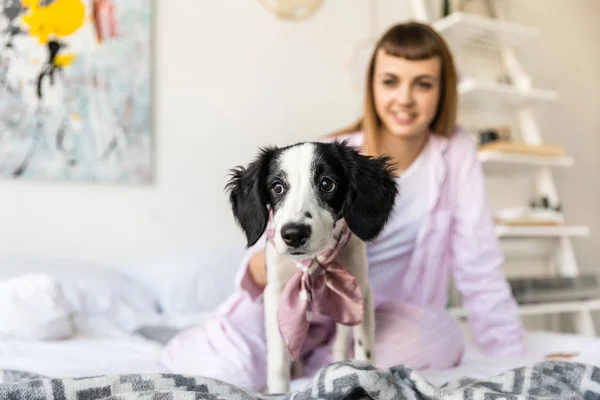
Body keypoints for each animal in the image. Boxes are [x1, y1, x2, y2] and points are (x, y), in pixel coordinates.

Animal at [225, 141, 398, 394]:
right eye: (277, 187)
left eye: (327, 183)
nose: (294, 234)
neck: (312, 262)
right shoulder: (275, 294)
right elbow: (277, 361)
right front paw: (278, 392)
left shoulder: (359, 290)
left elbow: (363, 346)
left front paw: (366, 375)